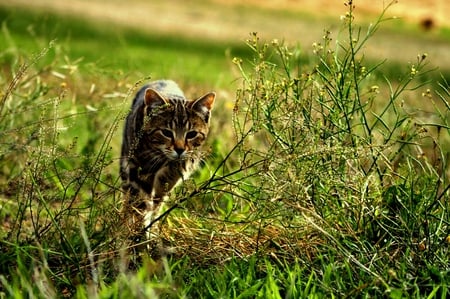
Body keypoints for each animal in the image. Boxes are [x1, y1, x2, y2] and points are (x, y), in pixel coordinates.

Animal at [120, 81, 215, 240]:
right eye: (166, 132)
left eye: (192, 134)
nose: (180, 149)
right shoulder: (138, 172)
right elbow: (140, 206)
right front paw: (139, 234)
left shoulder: (173, 175)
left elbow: (155, 205)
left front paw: (149, 231)